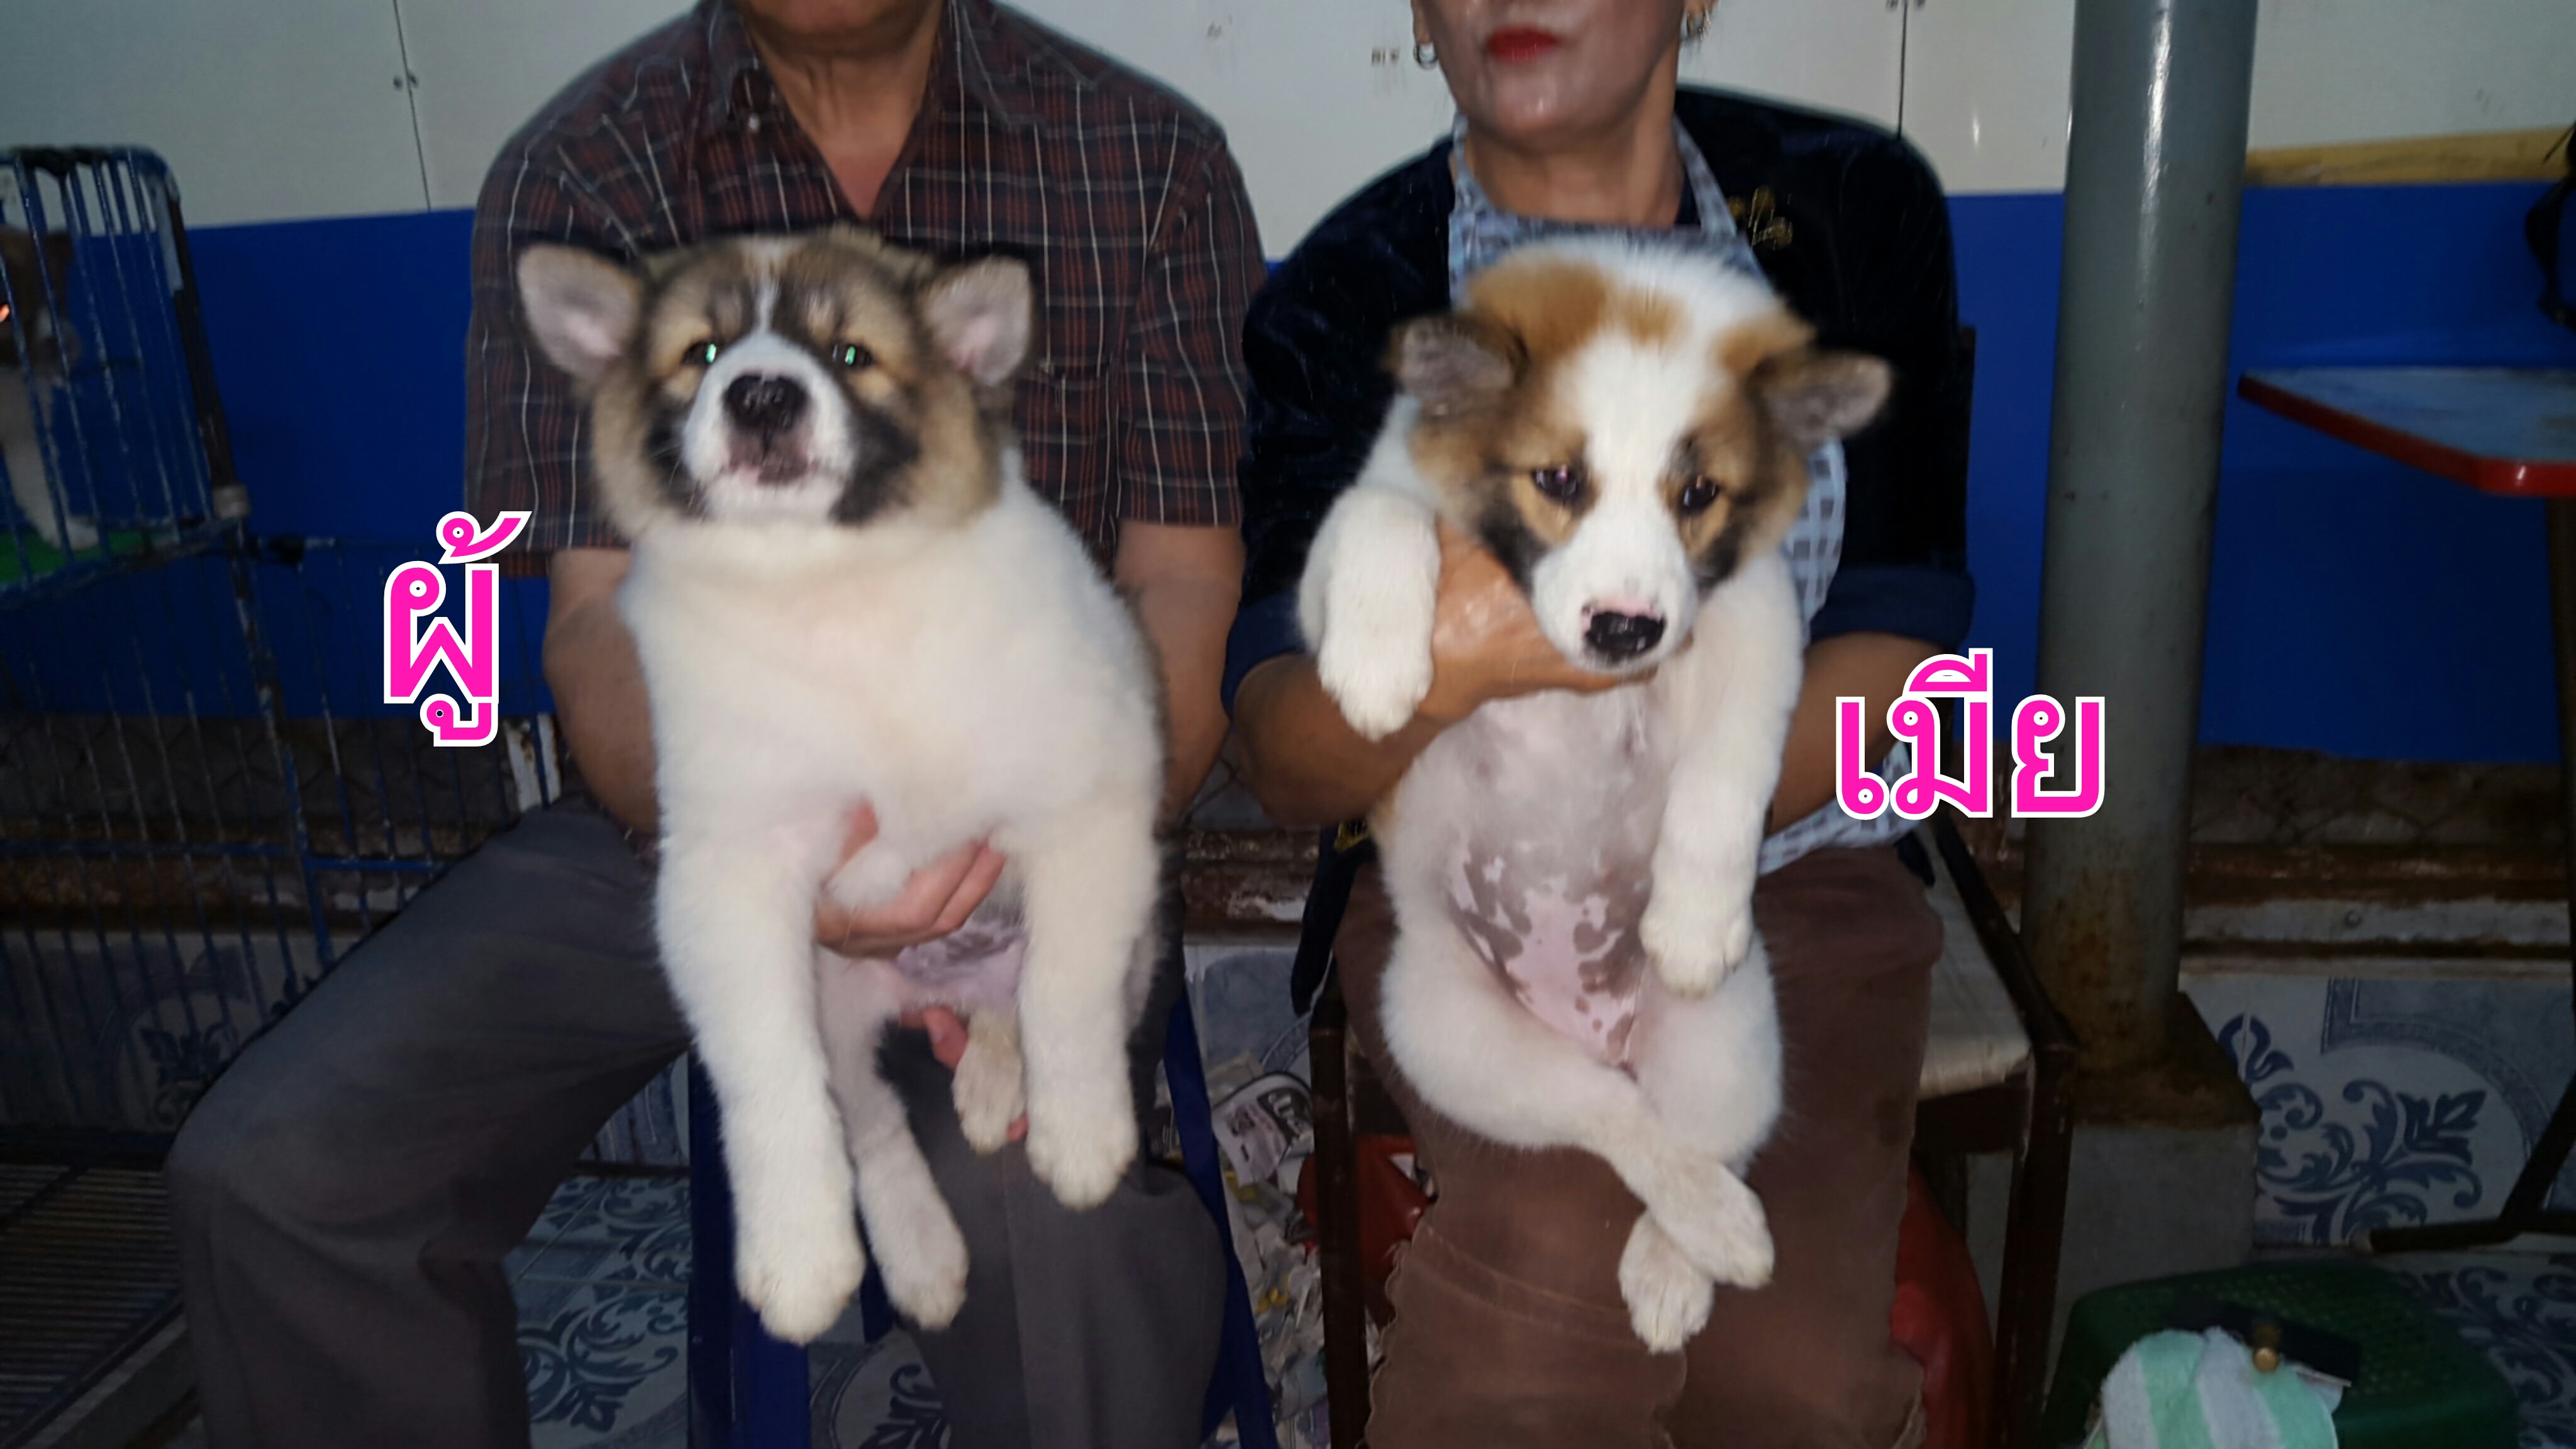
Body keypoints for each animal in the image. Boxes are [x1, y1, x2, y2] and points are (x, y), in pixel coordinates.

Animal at [0, 225, 94, 552]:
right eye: (6, 313)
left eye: (56, 299)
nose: (61, 344)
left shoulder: (25, 431)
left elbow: (42, 485)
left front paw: (69, 532)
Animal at [517, 226, 1164, 1342]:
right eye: (701, 352)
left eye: (851, 354)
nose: (761, 397)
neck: (826, 584)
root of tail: (928, 987)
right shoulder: (729, 884)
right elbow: (770, 1082)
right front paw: (797, 1255)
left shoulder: (1091, 809)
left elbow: (1064, 995)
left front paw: (1080, 1138)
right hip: (833, 992)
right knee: (867, 1123)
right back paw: (918, 1254)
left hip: (1136, 946)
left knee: (1024, 998)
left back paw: (996, 1085)